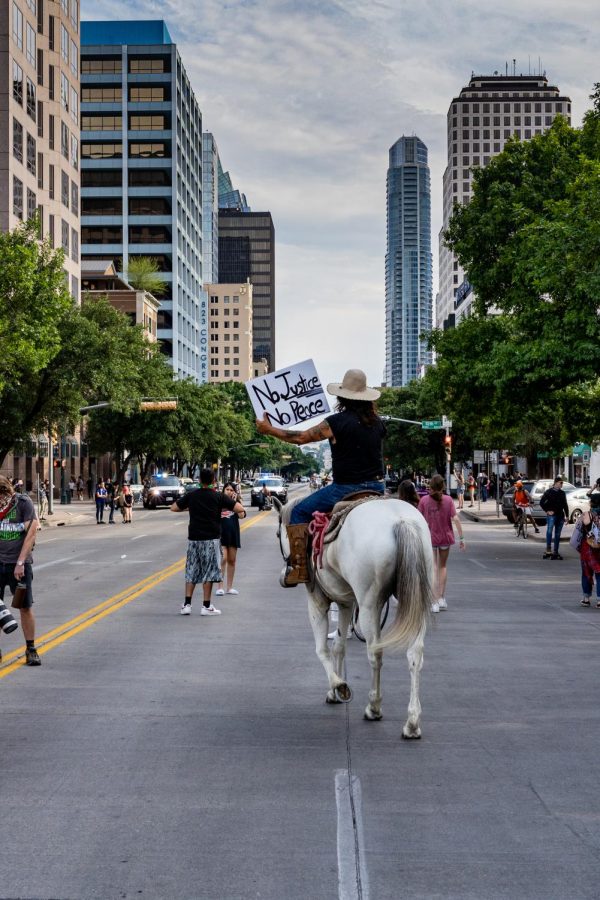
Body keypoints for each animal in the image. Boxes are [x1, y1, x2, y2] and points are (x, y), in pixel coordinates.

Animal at [274, 500, 434, 740]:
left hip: (369, 605)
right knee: (415, 655)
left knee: (375, 652)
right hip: (417, 600)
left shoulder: (317, 600)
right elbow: (339, 646)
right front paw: (335, 691)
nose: (285, 575)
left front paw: (339, 686)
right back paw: (412, 723)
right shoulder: (346, 602)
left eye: (278, 534)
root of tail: (401, 521)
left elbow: (322, 649)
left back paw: (373, 707)